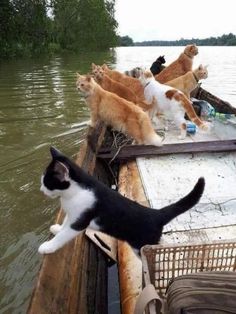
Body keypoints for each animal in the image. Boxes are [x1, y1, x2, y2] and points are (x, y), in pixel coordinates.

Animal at [38, 147, 205, 255]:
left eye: (47, 183)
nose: (41, 190)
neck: (73, 193)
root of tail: (157, 213)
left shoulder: (80, 221)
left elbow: (63, 236)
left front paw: (47, 247)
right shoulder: (73, 215)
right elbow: (65, 224)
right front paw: (57, 228)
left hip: (142, 244)